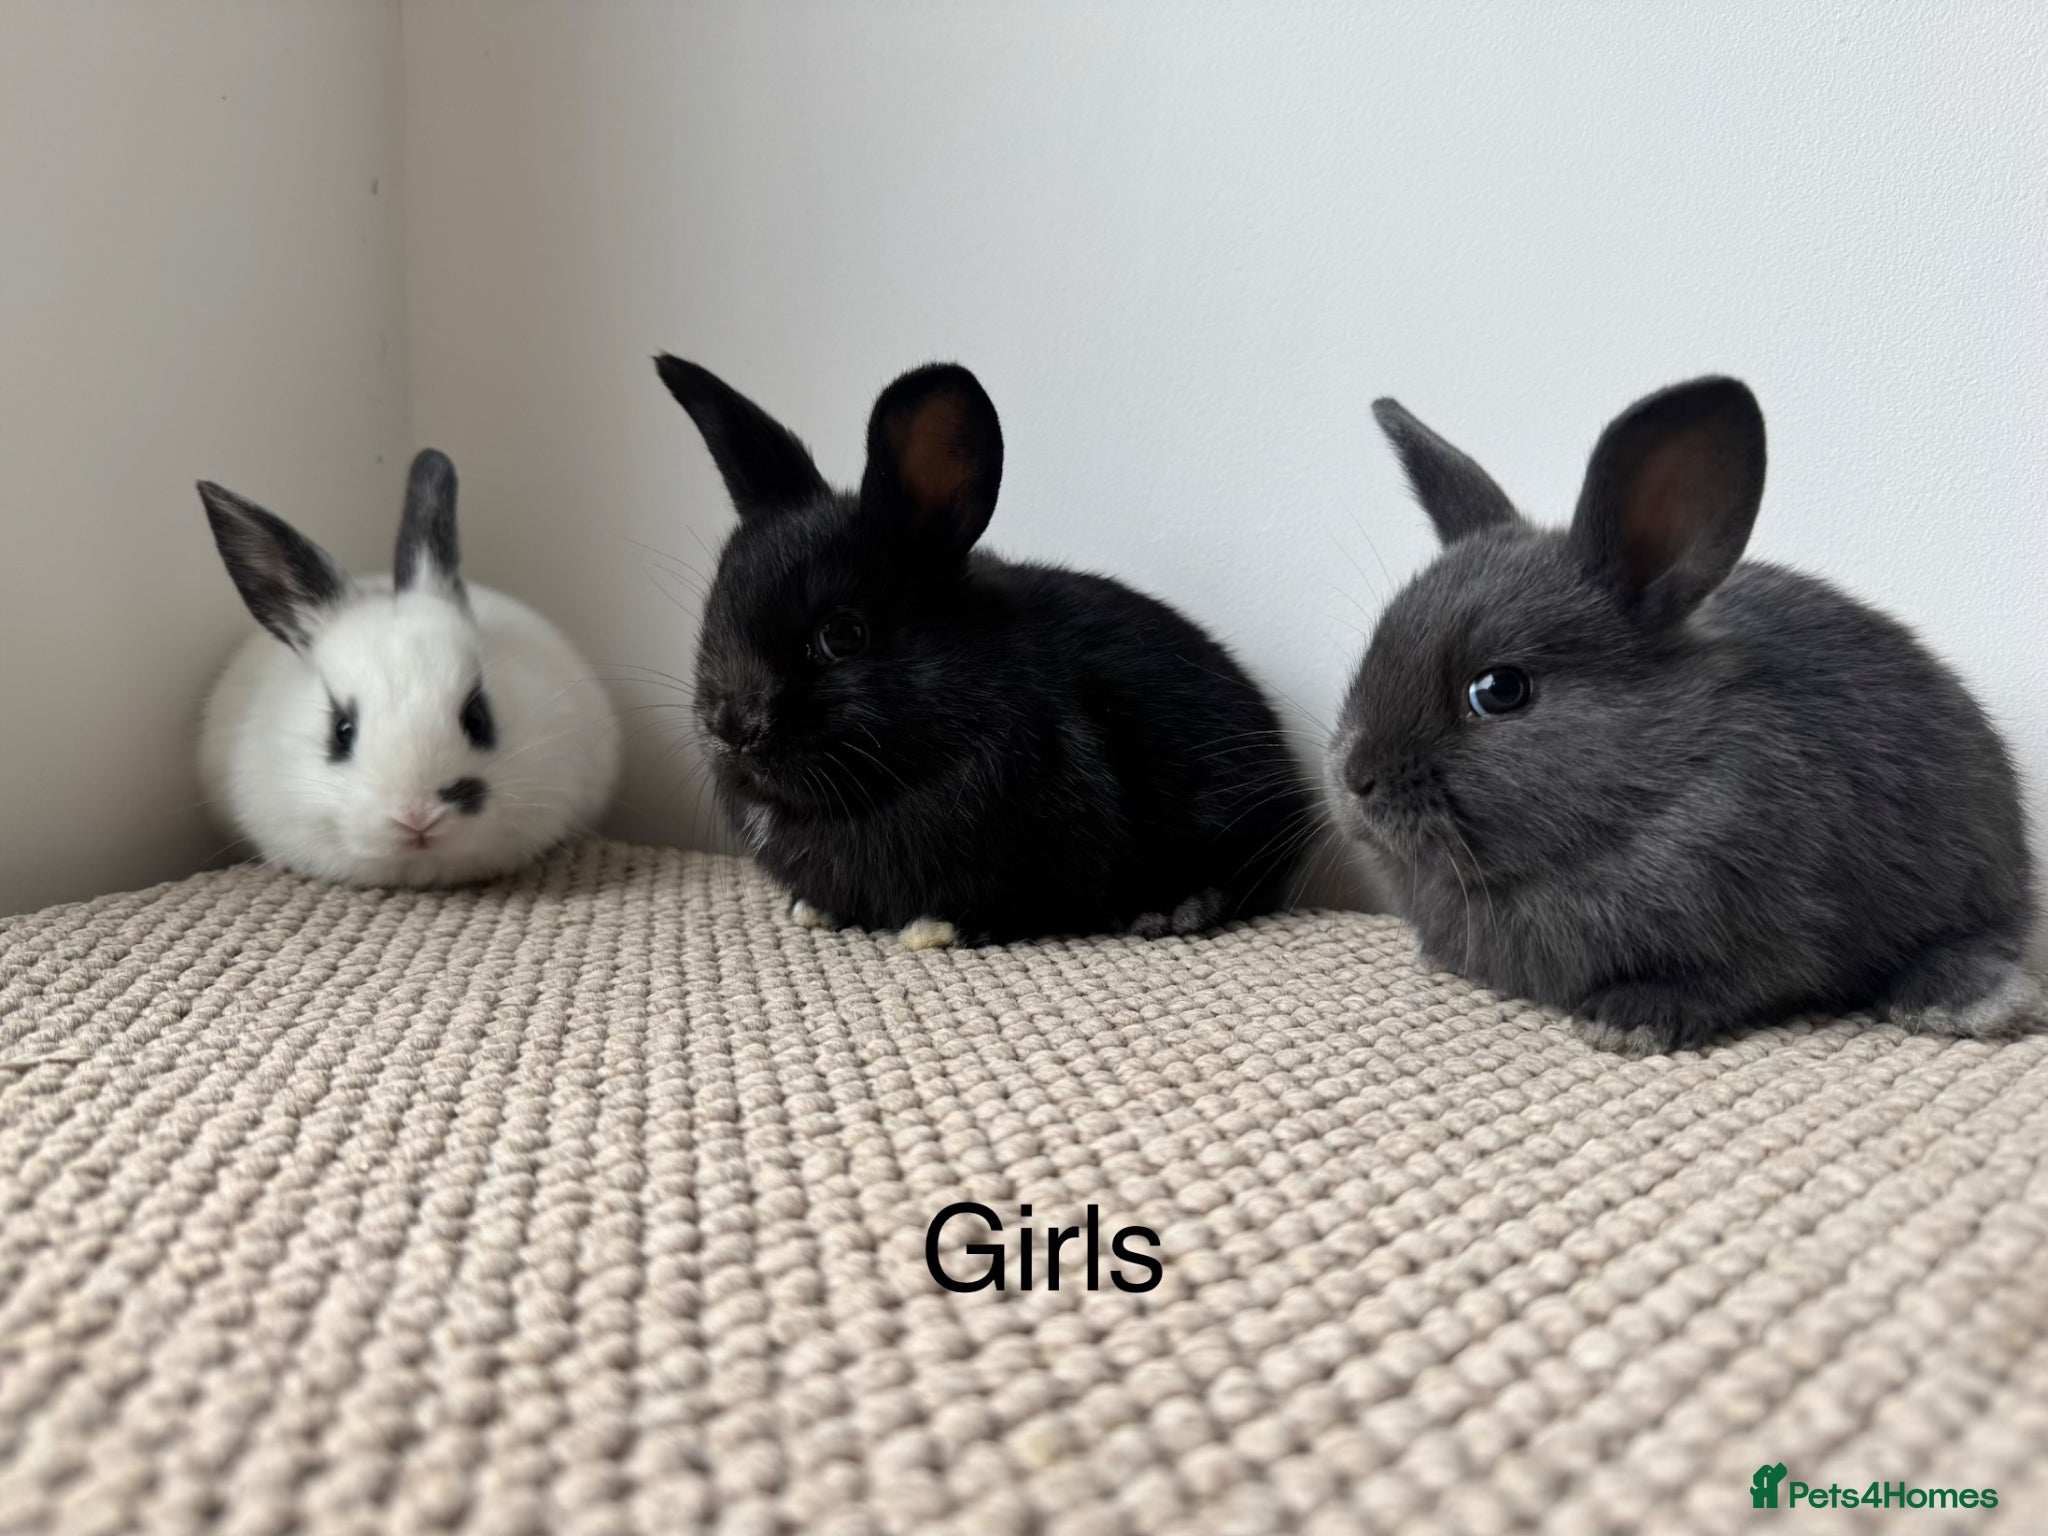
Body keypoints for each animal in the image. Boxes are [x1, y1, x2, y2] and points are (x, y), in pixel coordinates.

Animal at [655, 355, 1316, 947]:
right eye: (716, 610)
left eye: (842, 635)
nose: (733, 726)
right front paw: (812, 911)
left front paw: (939, 928)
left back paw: (1172, 910)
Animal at [1330, 375, 2040, 1055]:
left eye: (1499, 690)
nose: (1354, 778)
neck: (1651, 789)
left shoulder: (1780, 928)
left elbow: (1735, 981)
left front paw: (1628, 1021)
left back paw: (1962, 1002)